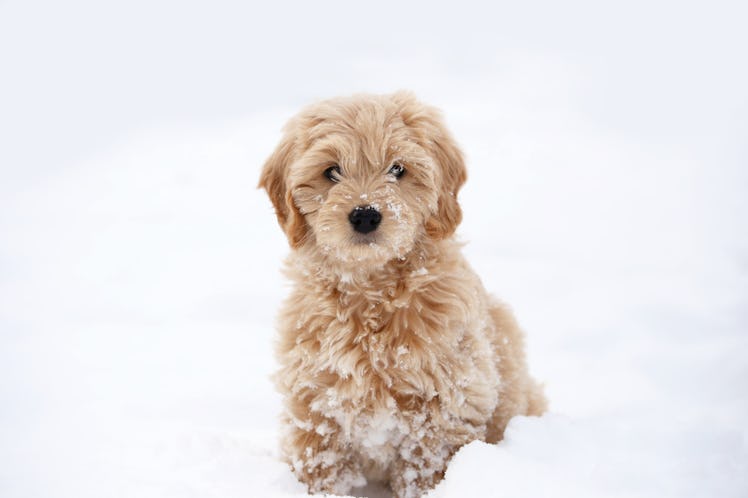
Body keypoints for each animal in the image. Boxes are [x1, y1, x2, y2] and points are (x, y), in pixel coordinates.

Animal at [260, 91, 548, 496]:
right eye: (331, 171)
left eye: (397, 169)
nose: (365, 215)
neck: (371, 292)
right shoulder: (315, 403)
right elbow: (322, 467)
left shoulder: (444, 404)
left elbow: (423, 470)